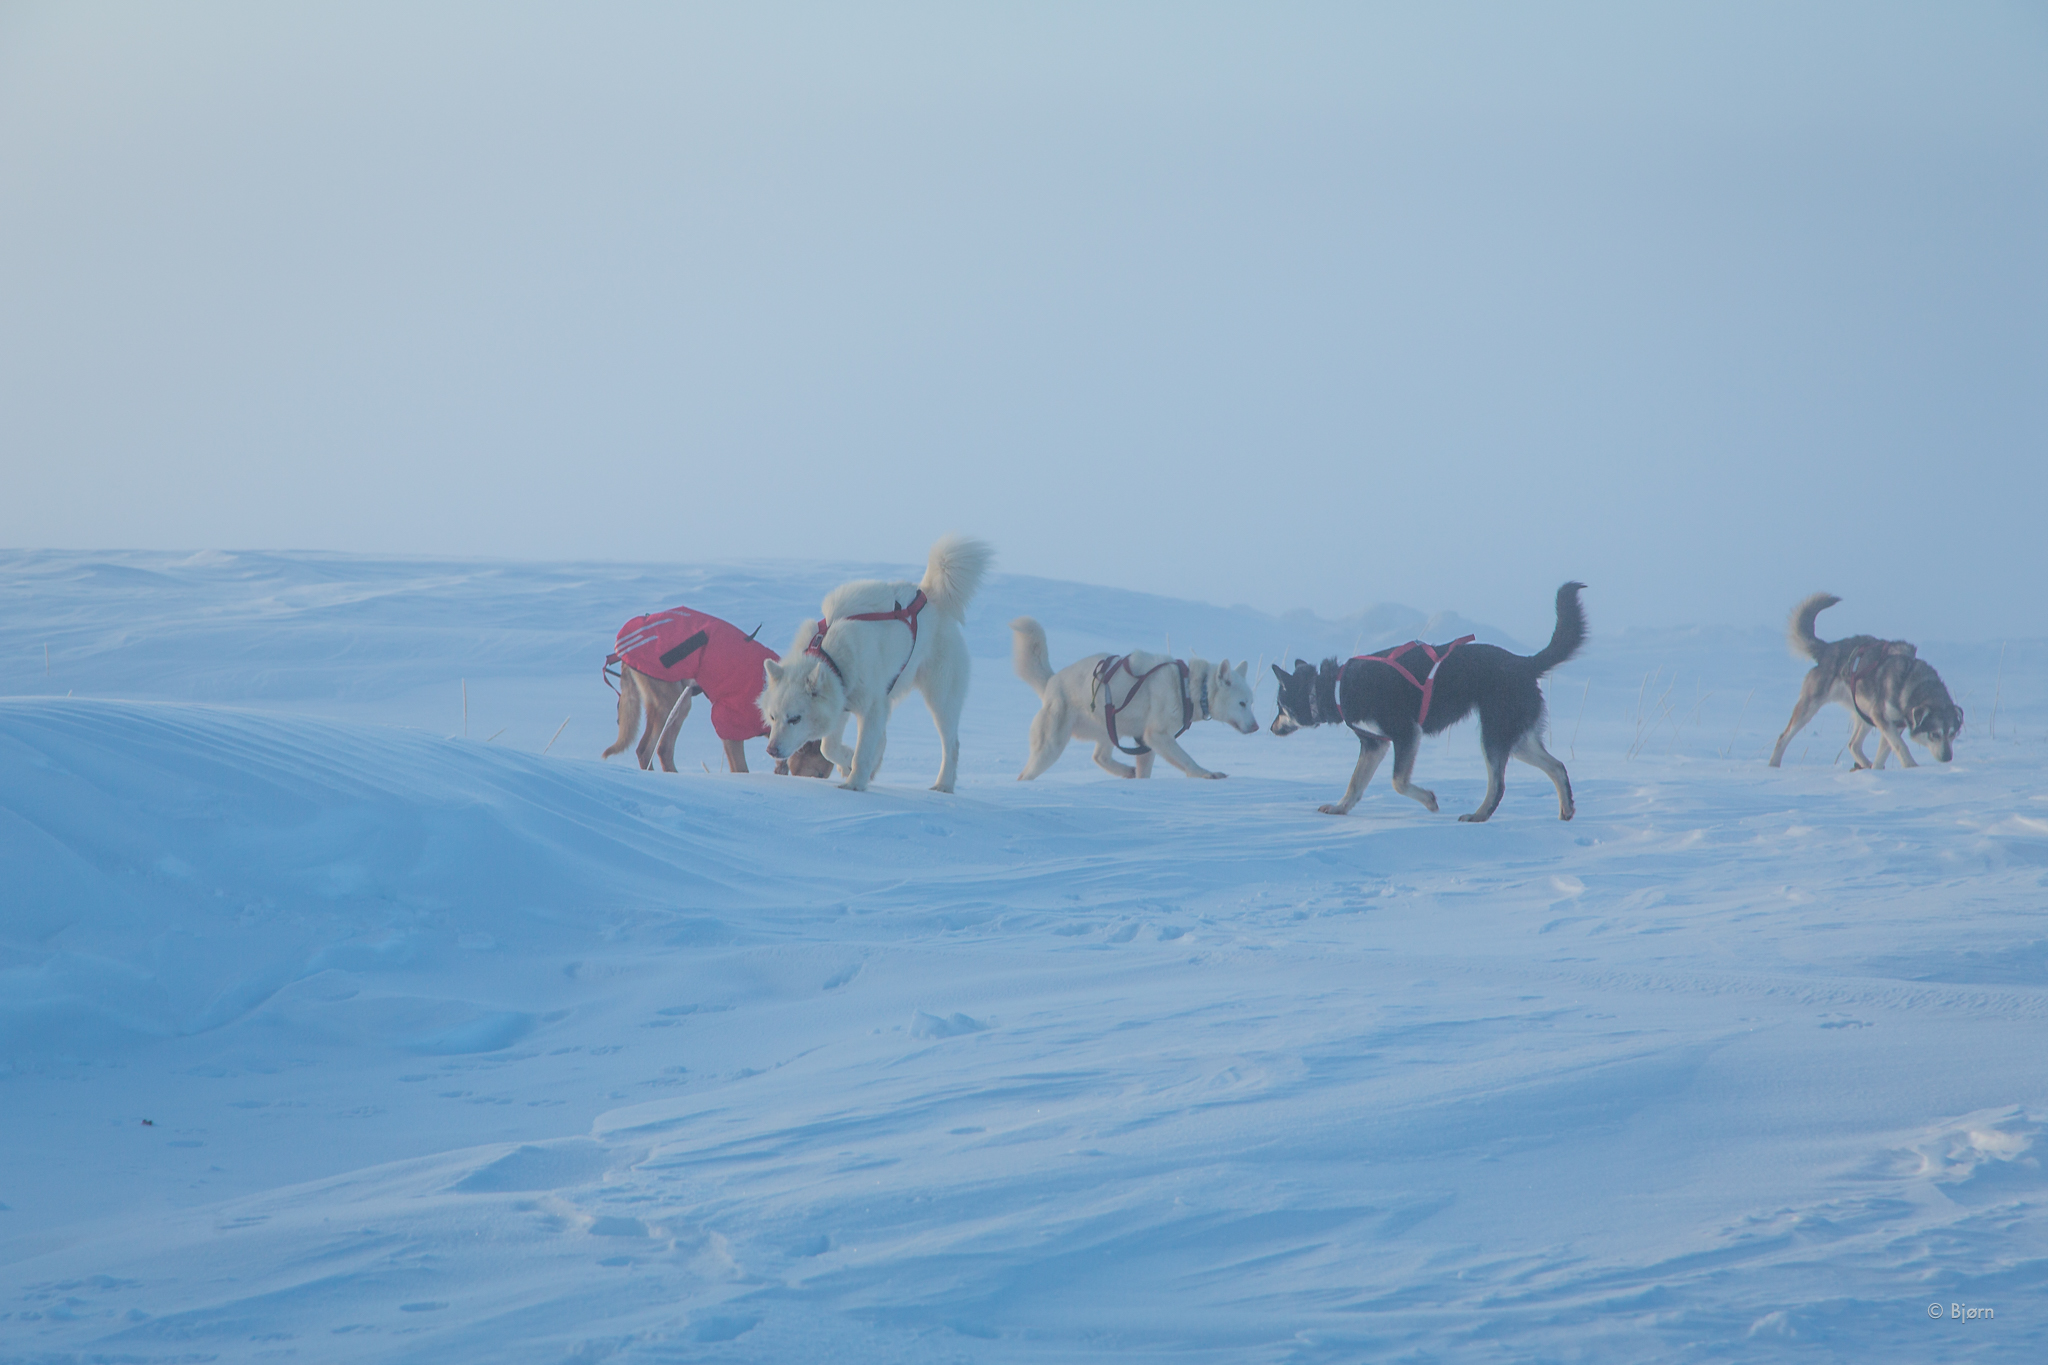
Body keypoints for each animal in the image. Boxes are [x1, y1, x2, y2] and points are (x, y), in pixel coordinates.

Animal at [765, 532, 995, 789]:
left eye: (795, 719)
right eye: (773, 717)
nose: (771, 750)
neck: (828, 653)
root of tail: (929, 595)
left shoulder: (871, 706)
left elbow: (861, 751)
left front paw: (854, 783)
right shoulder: (842, 701)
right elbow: (828, 747)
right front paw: (849, 763)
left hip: (941, 698)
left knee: (951, 745)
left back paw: (943, 785)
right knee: (885, 737)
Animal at [1003, 618, 1245, 777]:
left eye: (1250, 703)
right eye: (1242, 703)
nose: (1253, 726)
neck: (1188, 686)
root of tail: (1051, 682)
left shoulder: (1145, 743)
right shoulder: (1156, 736)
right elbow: (1187, 760)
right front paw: (1207, 774)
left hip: (1108, 726)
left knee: (1099, 757)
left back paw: (1125, 771)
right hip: (1051, 747)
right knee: (1026, 774)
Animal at [1269, 585, 1589, 822]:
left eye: (1280, 707)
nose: (1271, 728)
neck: (1334, 687)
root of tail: (1524, 663)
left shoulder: (1405, 734)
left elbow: (1398, 782)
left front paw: (1429, 801)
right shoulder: (1375, 744)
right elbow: (1355, 783)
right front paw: (1340, 808)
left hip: (1494, 734)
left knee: (1498, 784)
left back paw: (1478, 815)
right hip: (1517, 738)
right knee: (1557, 766)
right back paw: (1566, 810)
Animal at [1769, 593, 1957, 773]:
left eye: (1953, 734)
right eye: (1934, 734)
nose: (1948, 758)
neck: (1908, 680)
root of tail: (1827, 649)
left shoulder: (1892, 723)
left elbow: (1887, 749)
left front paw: (1878, 772)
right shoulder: (1881, 717)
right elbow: (1900, 745)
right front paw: (1912, 767)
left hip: (1864, 712)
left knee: (1853, 744)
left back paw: (1865, 765)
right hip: (1810, 708)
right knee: (1783, 737)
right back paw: (1773, 766)